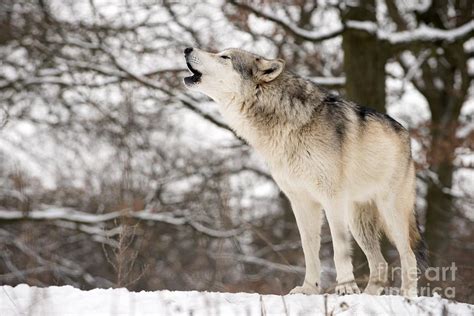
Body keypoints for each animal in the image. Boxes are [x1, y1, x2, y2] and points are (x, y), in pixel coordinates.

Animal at [181, 47, 426, 296]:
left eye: (225, 57)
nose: (187, 49)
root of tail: (405, 134)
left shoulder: (331, 199)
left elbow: (339, 249)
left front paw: (345, 288)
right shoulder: (301, 201)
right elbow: (309, 248)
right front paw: (309, 288)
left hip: (389, 213)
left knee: (409, 256)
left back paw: (407, 296)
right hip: (358, 221)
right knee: (381, 264)